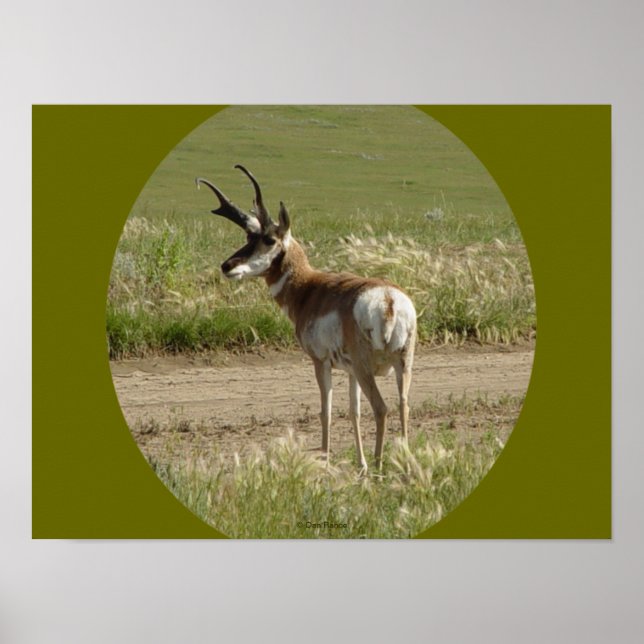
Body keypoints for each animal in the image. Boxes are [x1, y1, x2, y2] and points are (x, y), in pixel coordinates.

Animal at [196, 165, 417, 474]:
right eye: (249, 238)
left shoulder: (320, 362)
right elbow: (354, 412)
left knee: (382, 408)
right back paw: (403, 464)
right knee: (403, 405)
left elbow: (326, 411)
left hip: (367, 368)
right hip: (401, 364)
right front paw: (359, 465)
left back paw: (379, 466)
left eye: (268, 239)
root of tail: (387, 299)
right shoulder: (349, 372)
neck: (309, 287)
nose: (227, 266)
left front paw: (325, 461)